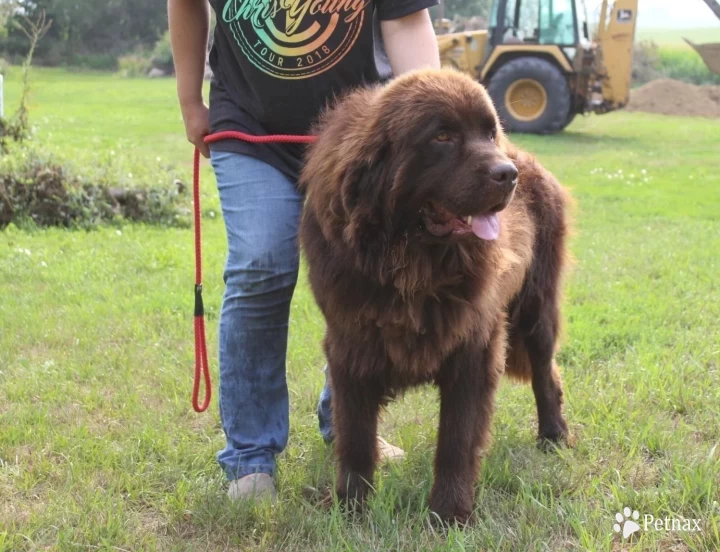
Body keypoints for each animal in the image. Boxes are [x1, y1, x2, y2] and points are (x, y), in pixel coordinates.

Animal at [296, 68, 568, 520]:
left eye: (489, 133)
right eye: (442, 137)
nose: (507, 174)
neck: (411, 265)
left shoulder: (475, 346)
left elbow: (456, 440)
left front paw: (449, 513)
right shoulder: (350, 343)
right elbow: (355, 438)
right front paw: (351, 509)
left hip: (535, 308)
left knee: (545, 374)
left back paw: (554, 436)